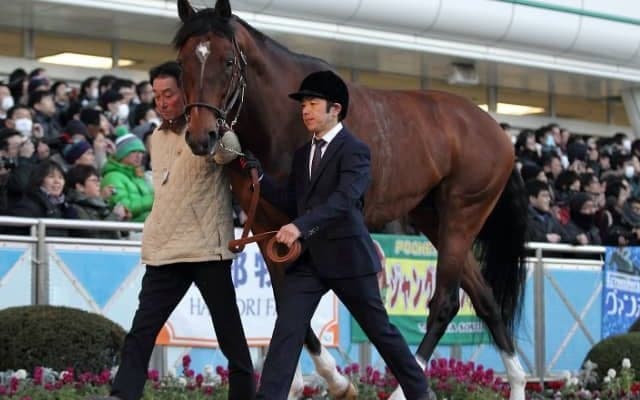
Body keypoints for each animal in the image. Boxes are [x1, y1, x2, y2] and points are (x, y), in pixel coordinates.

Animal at [174, 1, 529, 399]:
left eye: (228, 62)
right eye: (183, 62)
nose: (201, 136)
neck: (283, 121)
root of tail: (499, 134)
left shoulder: (297, 224)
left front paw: (337, 381)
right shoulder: (266, 227)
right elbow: (285, 304)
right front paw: (299, 383)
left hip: (462, 214)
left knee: (446, 302)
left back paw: (404, 388)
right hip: (431, 217)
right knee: (484, 299)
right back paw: (517, 383)